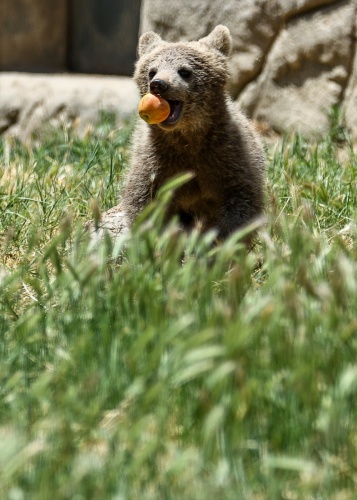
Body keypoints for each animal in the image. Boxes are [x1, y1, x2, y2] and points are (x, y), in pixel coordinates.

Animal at [121, 25, 264, 240]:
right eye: (151, 71)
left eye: (184, 71)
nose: (159, 84)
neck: (188, 138)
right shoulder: (156, 163)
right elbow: (143, 202)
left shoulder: (228, 158)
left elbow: (242, 202)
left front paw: (222, 240)